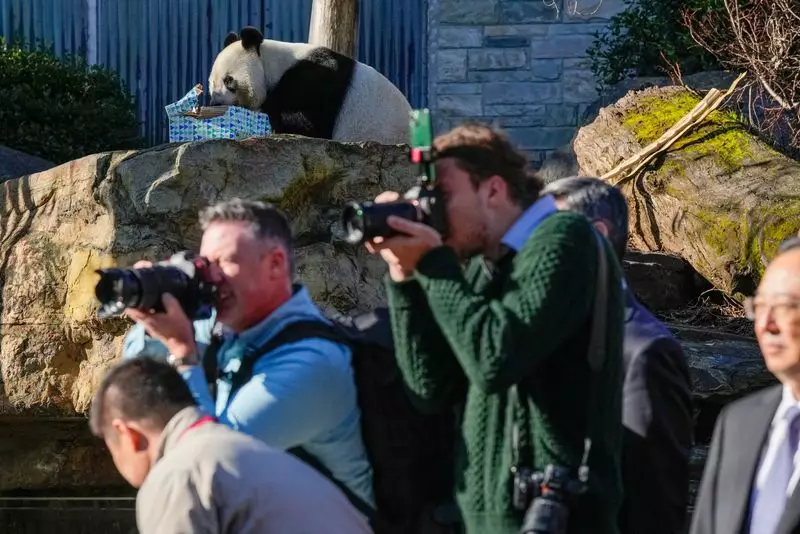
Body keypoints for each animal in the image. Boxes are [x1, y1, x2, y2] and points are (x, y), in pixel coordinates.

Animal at [208, 25, 412, 144]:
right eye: (211, 84)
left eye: (228, 80)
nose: (215, 104)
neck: (273, 65)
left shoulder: (313, 81)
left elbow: (306, 124)